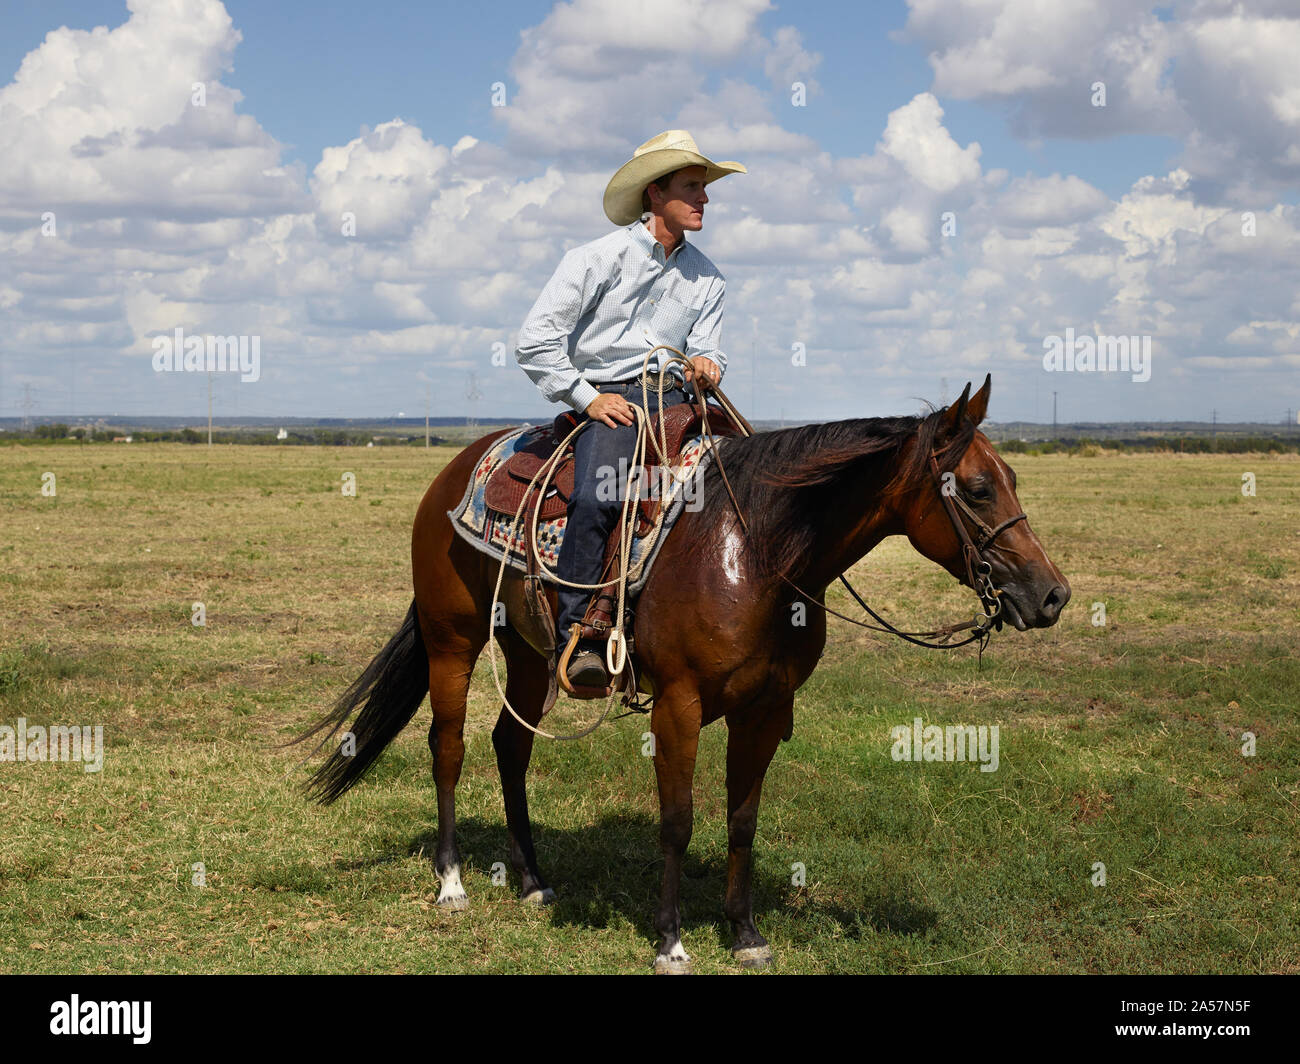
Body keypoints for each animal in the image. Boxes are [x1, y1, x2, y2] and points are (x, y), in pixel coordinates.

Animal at [294, 374, 1070, 972]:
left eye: (1011, 479)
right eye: (976, 489)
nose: (1053, 595)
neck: (758, 551)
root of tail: (455, 474)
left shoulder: (764, 709)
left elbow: (742, 819)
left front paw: (746, 933)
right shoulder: (679, 703)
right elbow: (677, 820)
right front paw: (669, 941)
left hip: (526, 653)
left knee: (509, 746)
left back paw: (534, 880)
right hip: (451, 641)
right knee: (448, 747)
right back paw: (452, 882)